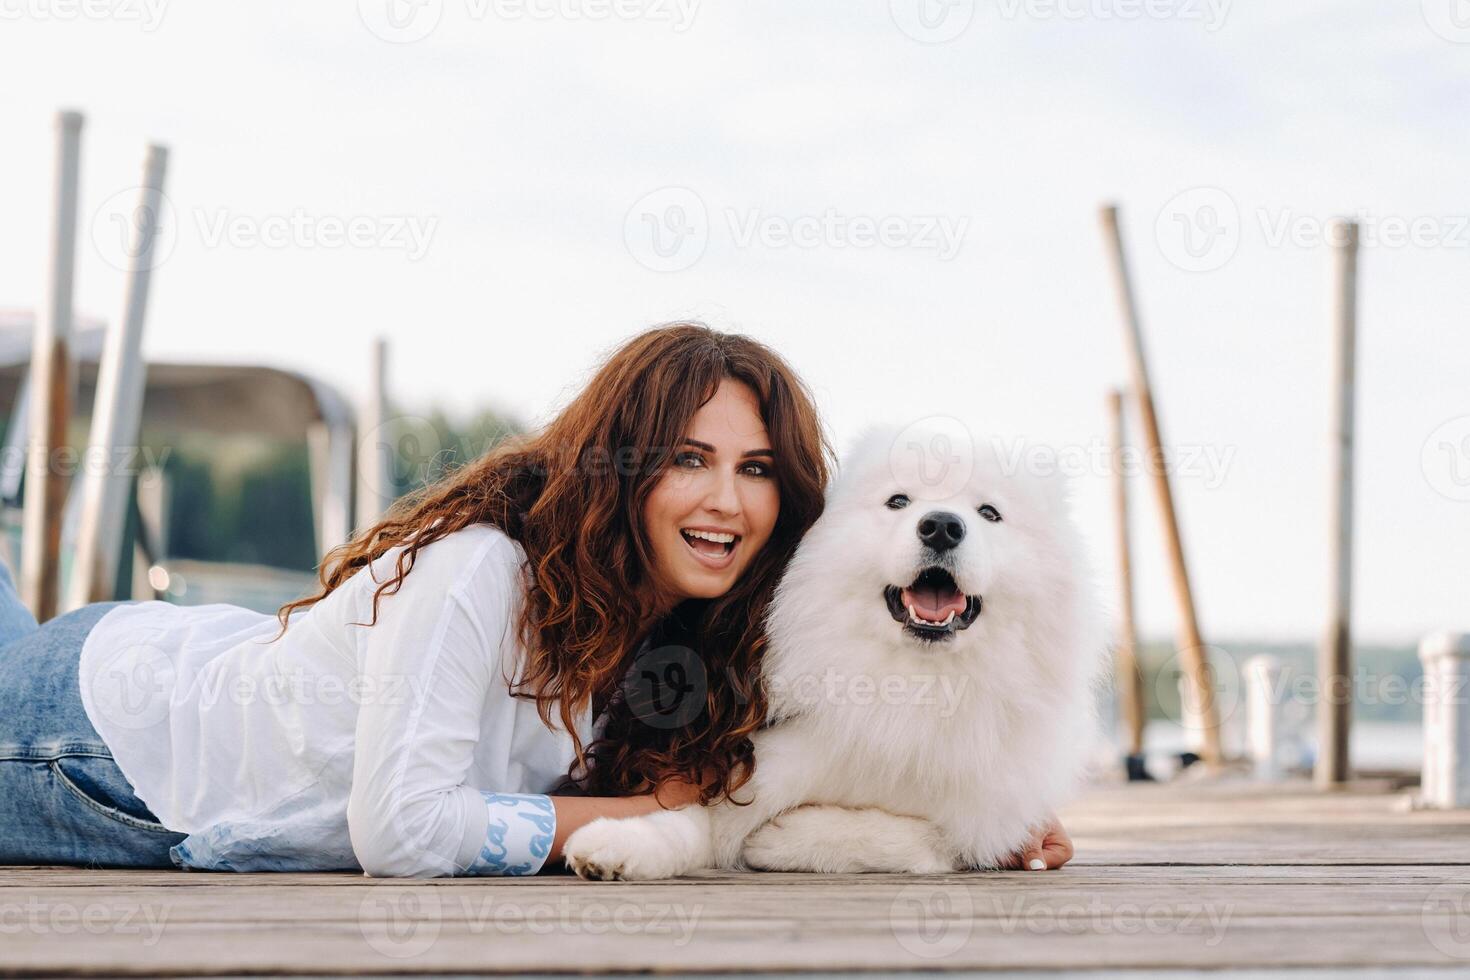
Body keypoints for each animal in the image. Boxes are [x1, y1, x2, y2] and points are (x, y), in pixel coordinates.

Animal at [561, 423, 1105, 881]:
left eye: (990, 514)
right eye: (898, 501)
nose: (942, 525)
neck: (915, 686)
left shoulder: (982, 816)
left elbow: (917, 836)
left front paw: (782, 839)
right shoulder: (762, 765)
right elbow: (689, 820)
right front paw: (616, 843)